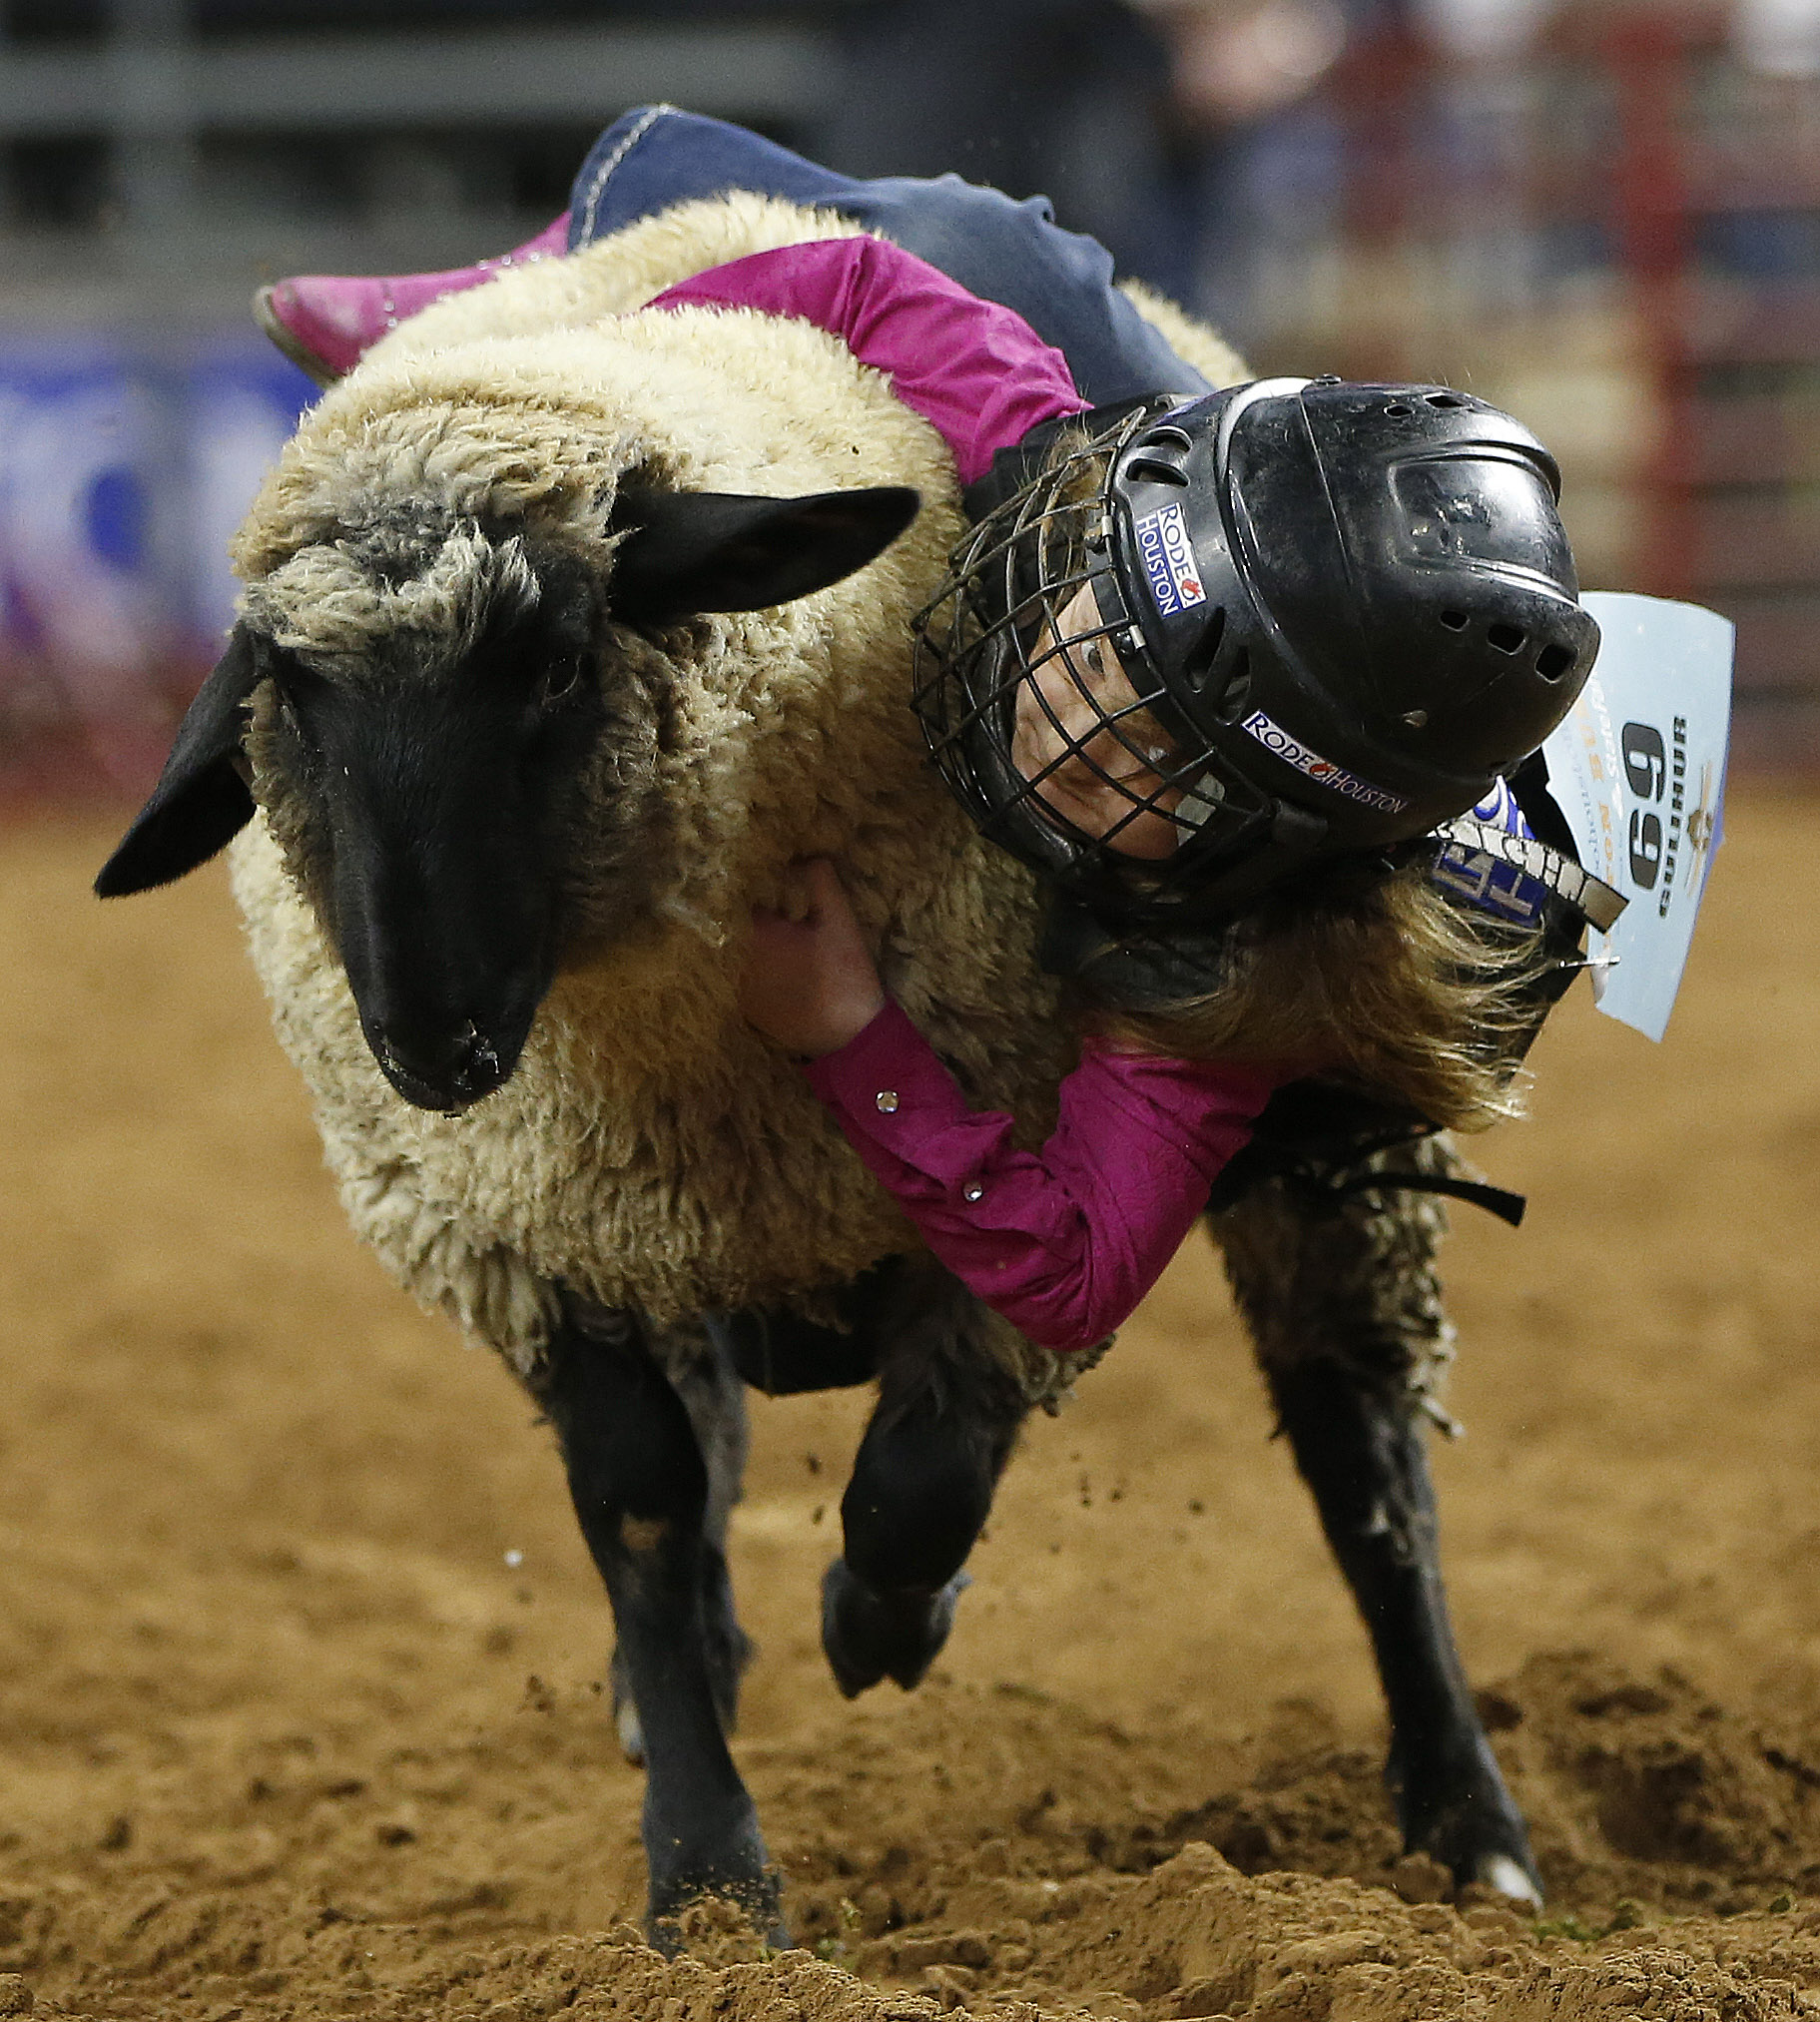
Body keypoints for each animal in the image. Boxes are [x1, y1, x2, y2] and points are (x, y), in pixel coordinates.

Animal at [99, 193, 1544, 1941]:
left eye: (554, 663)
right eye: (291, 697)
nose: (428, 1043)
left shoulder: (1003, 1210)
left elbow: (921, 1476)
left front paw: (878, 1621)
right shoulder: (527, 1230)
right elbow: (641, 1504)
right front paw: (709, 1882)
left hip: (1320, 1184)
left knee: (1362, 1453)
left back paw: (1469, 1829)